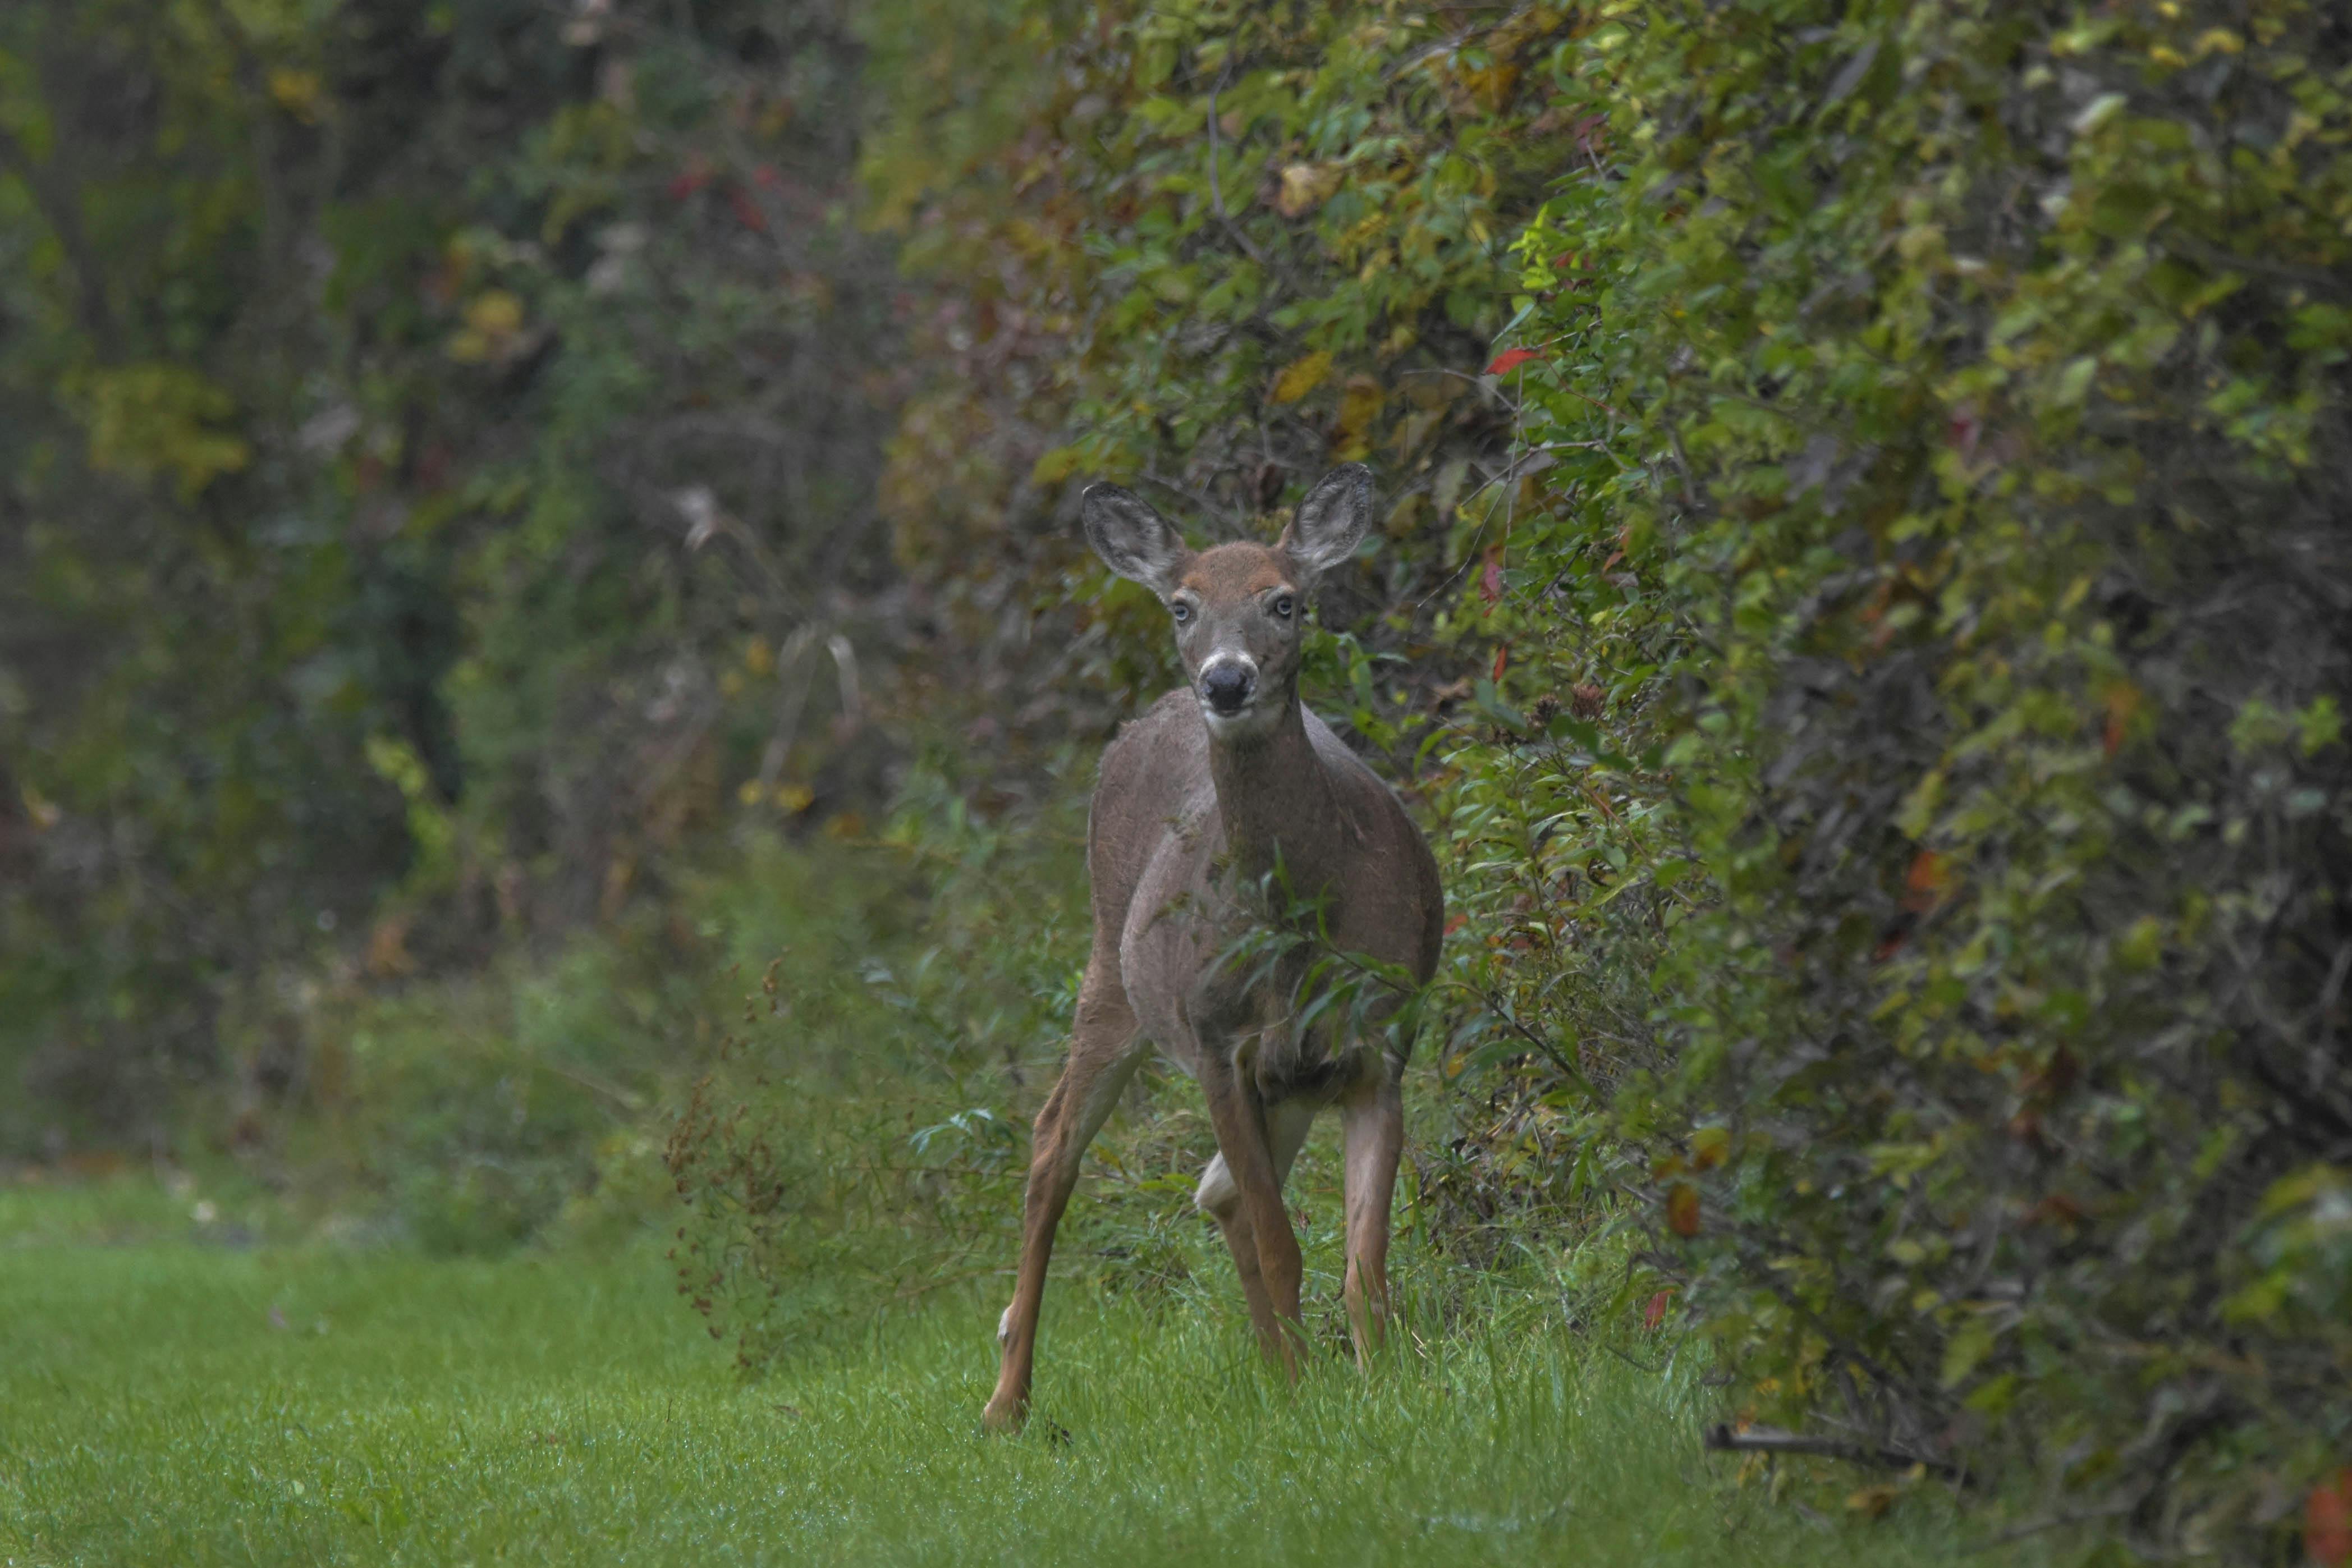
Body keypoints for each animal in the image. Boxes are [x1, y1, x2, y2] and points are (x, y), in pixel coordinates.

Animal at [978, 463, 1448, 1438]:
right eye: (1182, 606)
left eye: (1284, 600)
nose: (1225, 680)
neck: (1304, 919)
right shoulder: (1213, 1043)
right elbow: (1282, 1248)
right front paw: (1315, 1396)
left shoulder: (1378, 1044)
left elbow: (1364, 1261)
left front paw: (1373, 1386)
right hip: (1110, 978)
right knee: (1051, 1143)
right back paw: (1007, 1398)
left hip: (1289, 1082)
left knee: (1215, 1191)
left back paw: (1272, 1369)